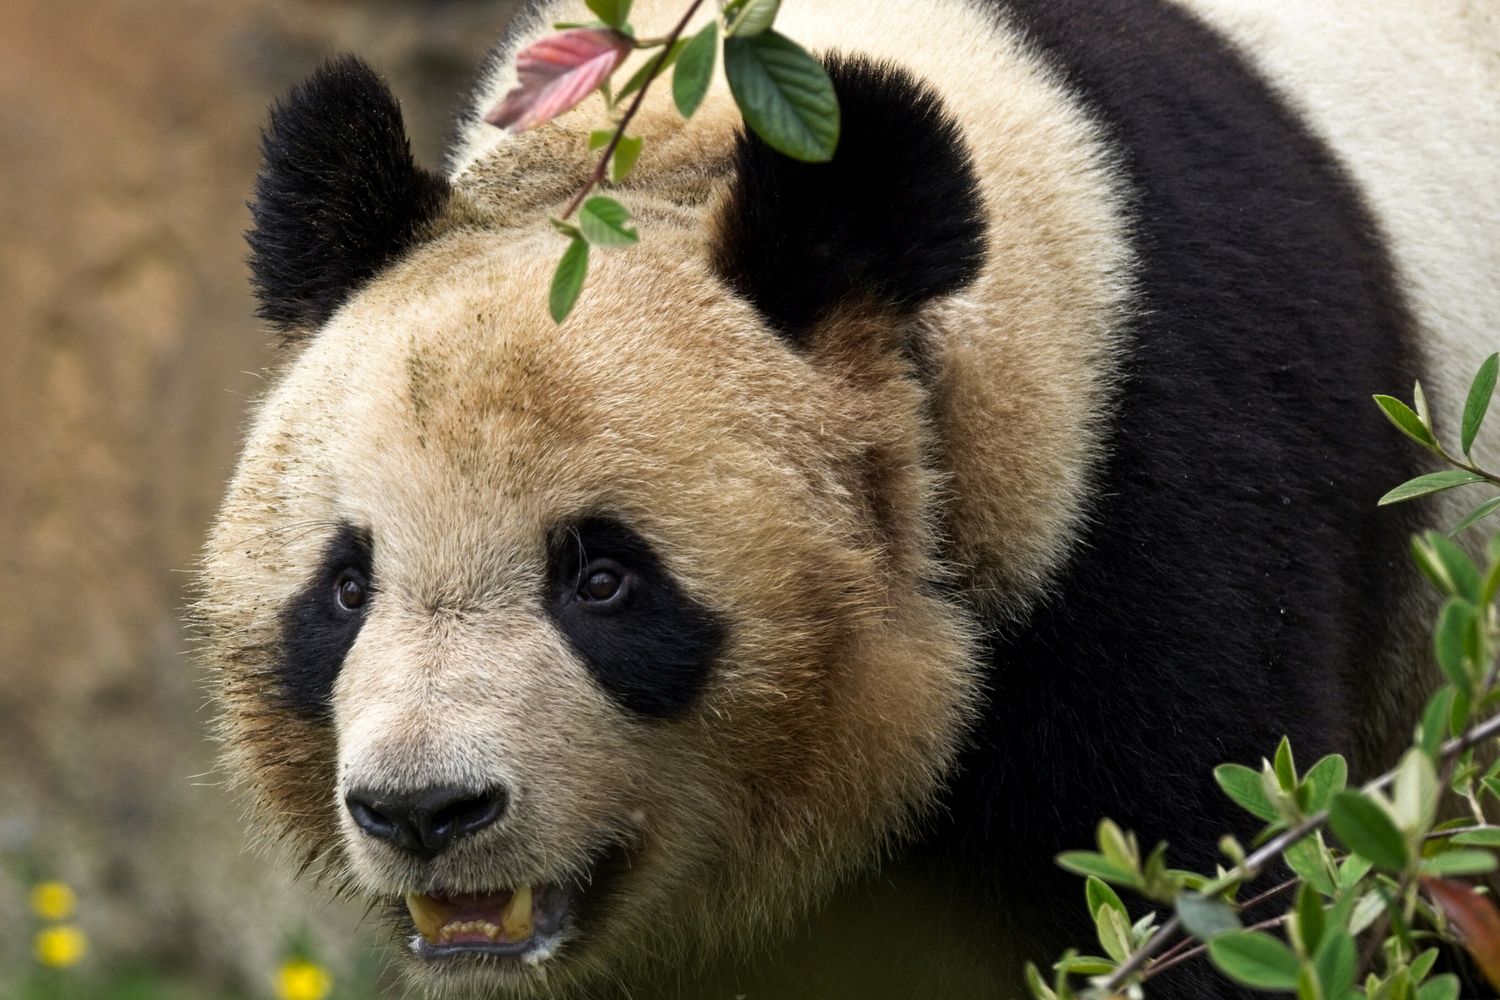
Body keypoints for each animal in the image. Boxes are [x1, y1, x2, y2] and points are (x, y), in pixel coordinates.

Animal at [197, 0, 1500, 996]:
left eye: (603, 577)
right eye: (346, 586)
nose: (424, 810)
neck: (692, 145)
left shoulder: (1166, 495)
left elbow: (1206, 886)